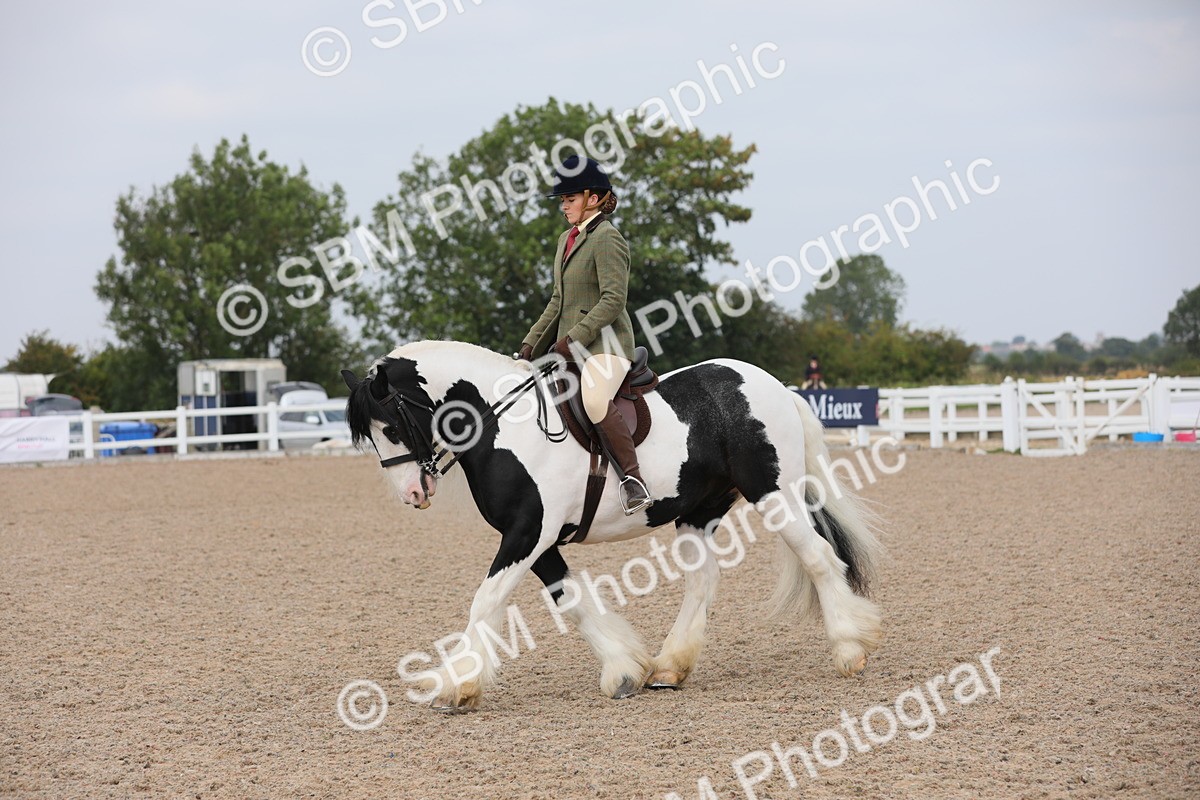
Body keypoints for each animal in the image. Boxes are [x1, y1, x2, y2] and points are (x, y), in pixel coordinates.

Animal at [342, 340, 884, 711]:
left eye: (391, 427)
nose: (413, 494)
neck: (503, 427)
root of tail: (775, 387)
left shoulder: (527, 533)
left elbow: (487, 600)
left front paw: (458, 685)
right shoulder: (538, 541)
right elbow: (571, 599)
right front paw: (624, 670)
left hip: (774, 496)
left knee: (819, 559)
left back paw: (849, 650)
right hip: (698, 511)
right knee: (703, 581)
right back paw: (669, 667)